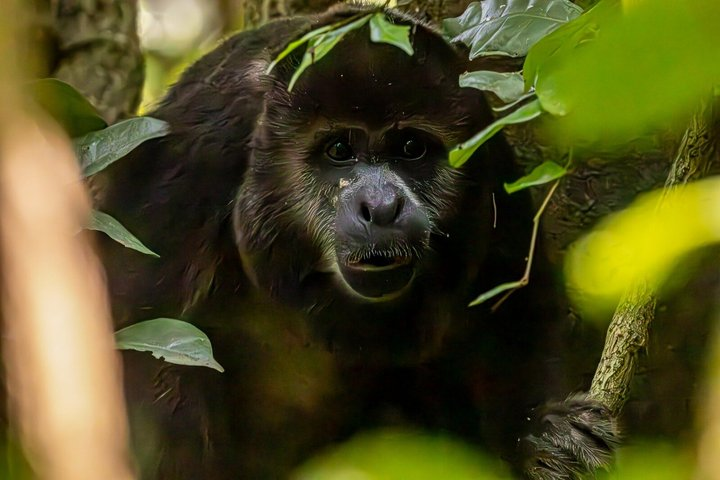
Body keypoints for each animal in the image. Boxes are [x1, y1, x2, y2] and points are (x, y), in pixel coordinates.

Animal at [96, 4, 619, 479]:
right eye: (339, 150)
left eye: (410, 148)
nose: (382, 207)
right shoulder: (189, 165)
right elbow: (140, 338)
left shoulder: (488, 156)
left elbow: (512, 309)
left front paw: (547, 438)